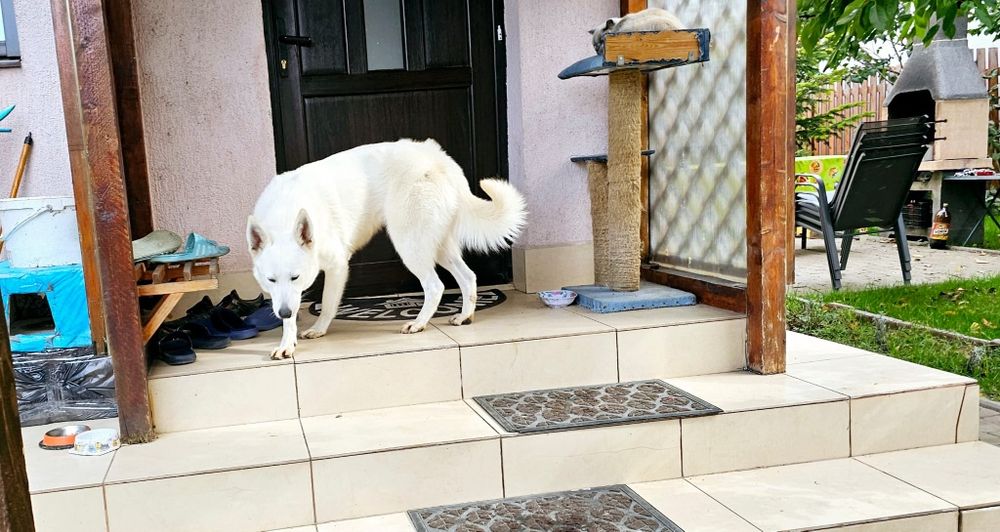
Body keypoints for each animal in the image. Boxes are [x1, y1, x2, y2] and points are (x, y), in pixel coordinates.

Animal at [247, 139, 526, 359]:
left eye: (296, 277)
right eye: (271, 280)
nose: (283, 312)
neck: (284, 214)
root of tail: (436, 156)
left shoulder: (336, 266)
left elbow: (326, 303)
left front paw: (318, 328)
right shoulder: (285, 295)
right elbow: (290, 317)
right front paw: (287, 343)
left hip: (409, 244)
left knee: (435, 286)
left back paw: (419, 323)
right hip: (437, 245)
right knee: (468, 277)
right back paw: (465, 316)